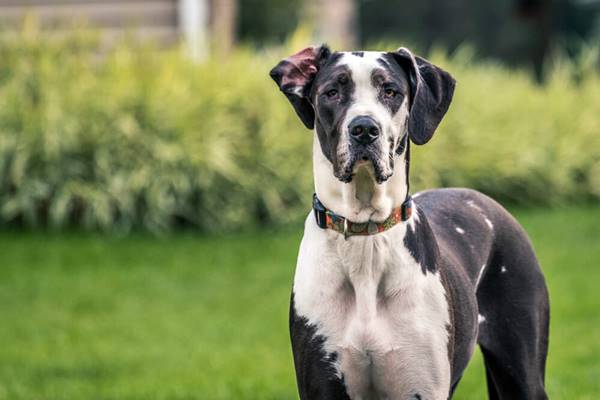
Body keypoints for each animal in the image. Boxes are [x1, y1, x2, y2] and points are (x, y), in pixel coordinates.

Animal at [270, 45, 552, 398]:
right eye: (332, 92)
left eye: (391, 91)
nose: (364, 129)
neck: (366, 237)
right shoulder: (321, 385)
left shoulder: (423, 386)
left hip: (523, 370)